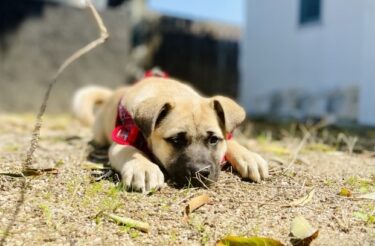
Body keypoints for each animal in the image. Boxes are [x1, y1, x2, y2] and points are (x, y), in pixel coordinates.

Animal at [72, 76, 268, 191]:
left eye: (213, 139)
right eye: (175, 140)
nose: (200, 173)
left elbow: (231, 141)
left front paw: (249, 156)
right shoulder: (122, 139)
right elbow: (132, 152)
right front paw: (144, 168)